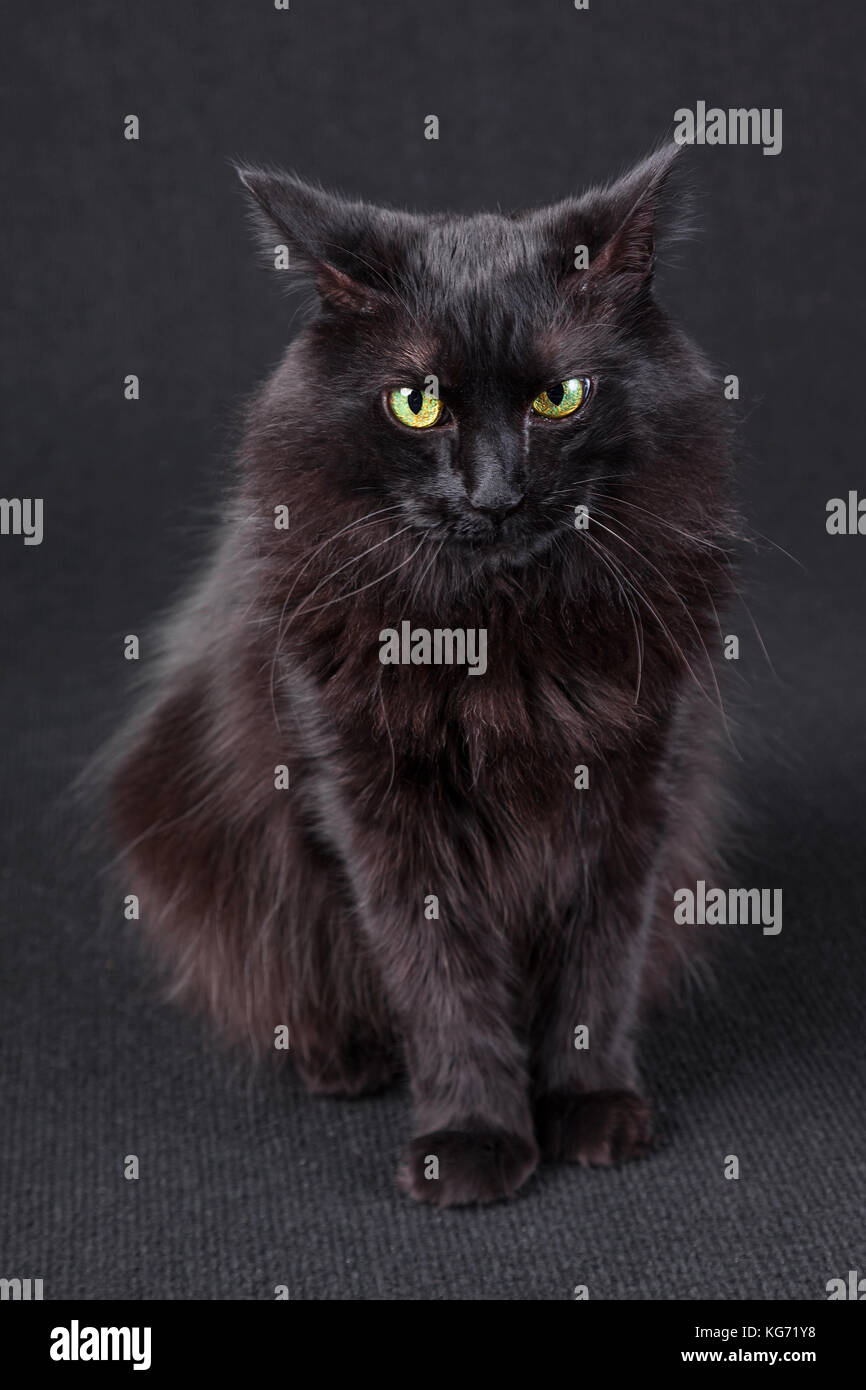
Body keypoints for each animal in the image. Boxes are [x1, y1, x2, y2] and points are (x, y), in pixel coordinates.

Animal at [104, 143, 733, 1206]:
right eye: (417, 402)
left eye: (560, 398)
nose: (494, 492)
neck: (499, 639)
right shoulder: (377, 807)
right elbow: (441, 982)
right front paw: (472, 1138)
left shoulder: (636, 787)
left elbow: (599, 967)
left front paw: (590, 1108)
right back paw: (343, 1059)